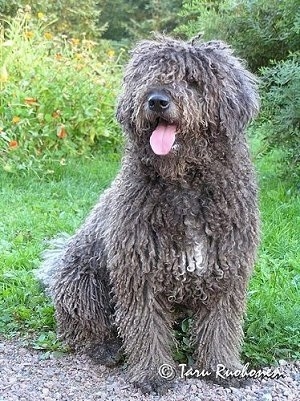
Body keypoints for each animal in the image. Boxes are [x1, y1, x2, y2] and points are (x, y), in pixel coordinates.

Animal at [37, 35, 258, 394]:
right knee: (83, 328)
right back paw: (106, 349)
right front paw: (153, 373)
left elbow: (220, 326)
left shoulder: (226, 269)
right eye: (148, 77)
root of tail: (56, 269)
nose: (156, 100)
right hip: (82, 282)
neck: (185, 185)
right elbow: (146, 328)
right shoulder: (139, 272)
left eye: (192, 80)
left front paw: (222, 367)